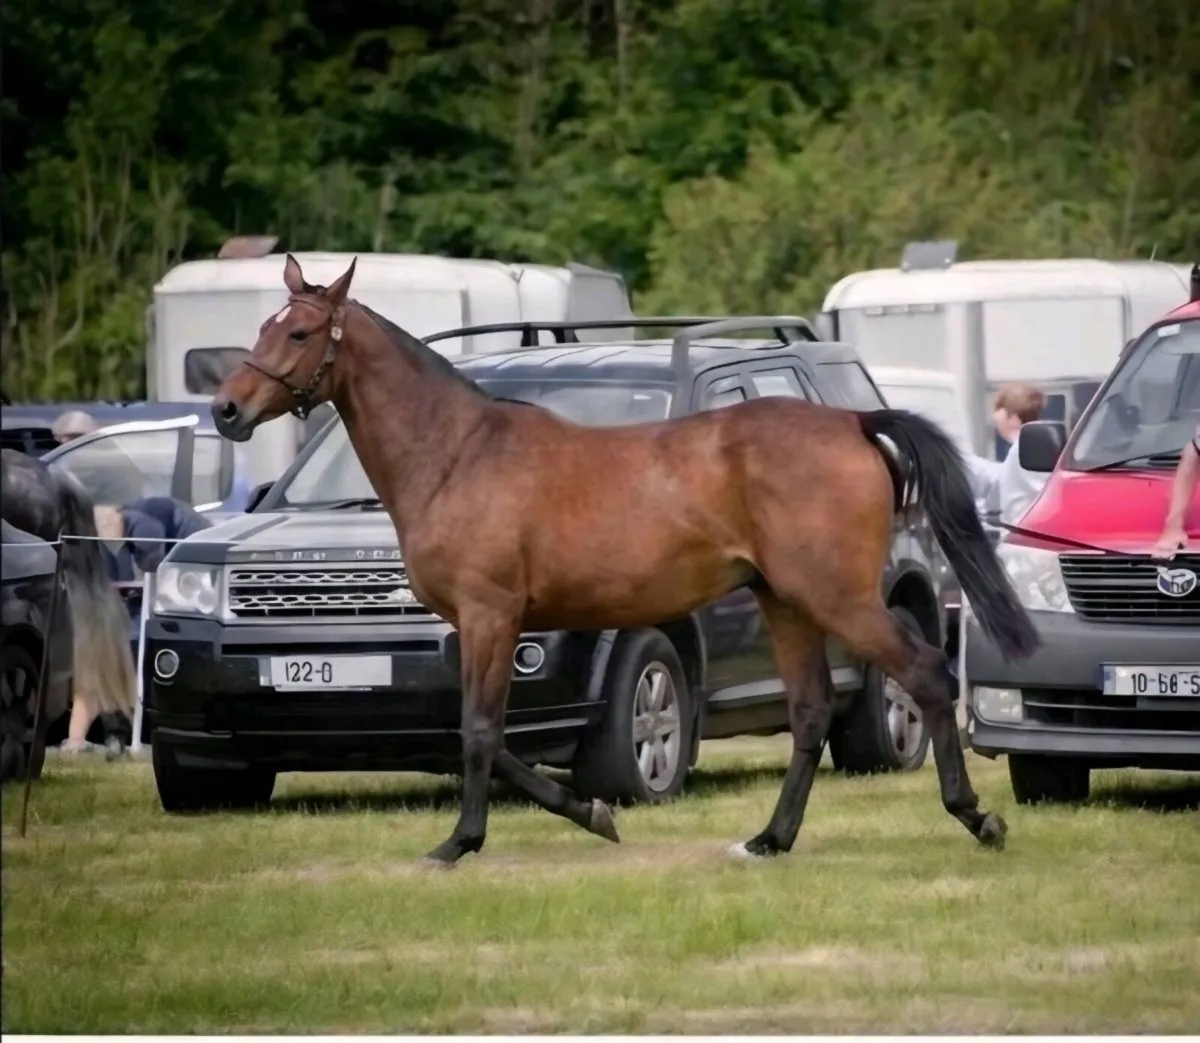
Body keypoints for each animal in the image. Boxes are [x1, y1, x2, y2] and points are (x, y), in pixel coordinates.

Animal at [210, 255, 1039, 868]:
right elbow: (490, 736)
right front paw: (592, 811)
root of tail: (854, 421)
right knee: (807, 712)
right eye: (266, 324)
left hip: (838, 598)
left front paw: (463, 841)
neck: (456, 455)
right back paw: (769, 839)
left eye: (301, 331)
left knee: (924, 674)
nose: (226, 409)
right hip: (787, 602)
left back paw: (977, 818)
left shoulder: (489, 616)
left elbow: (478, 732)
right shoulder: (492, 626)